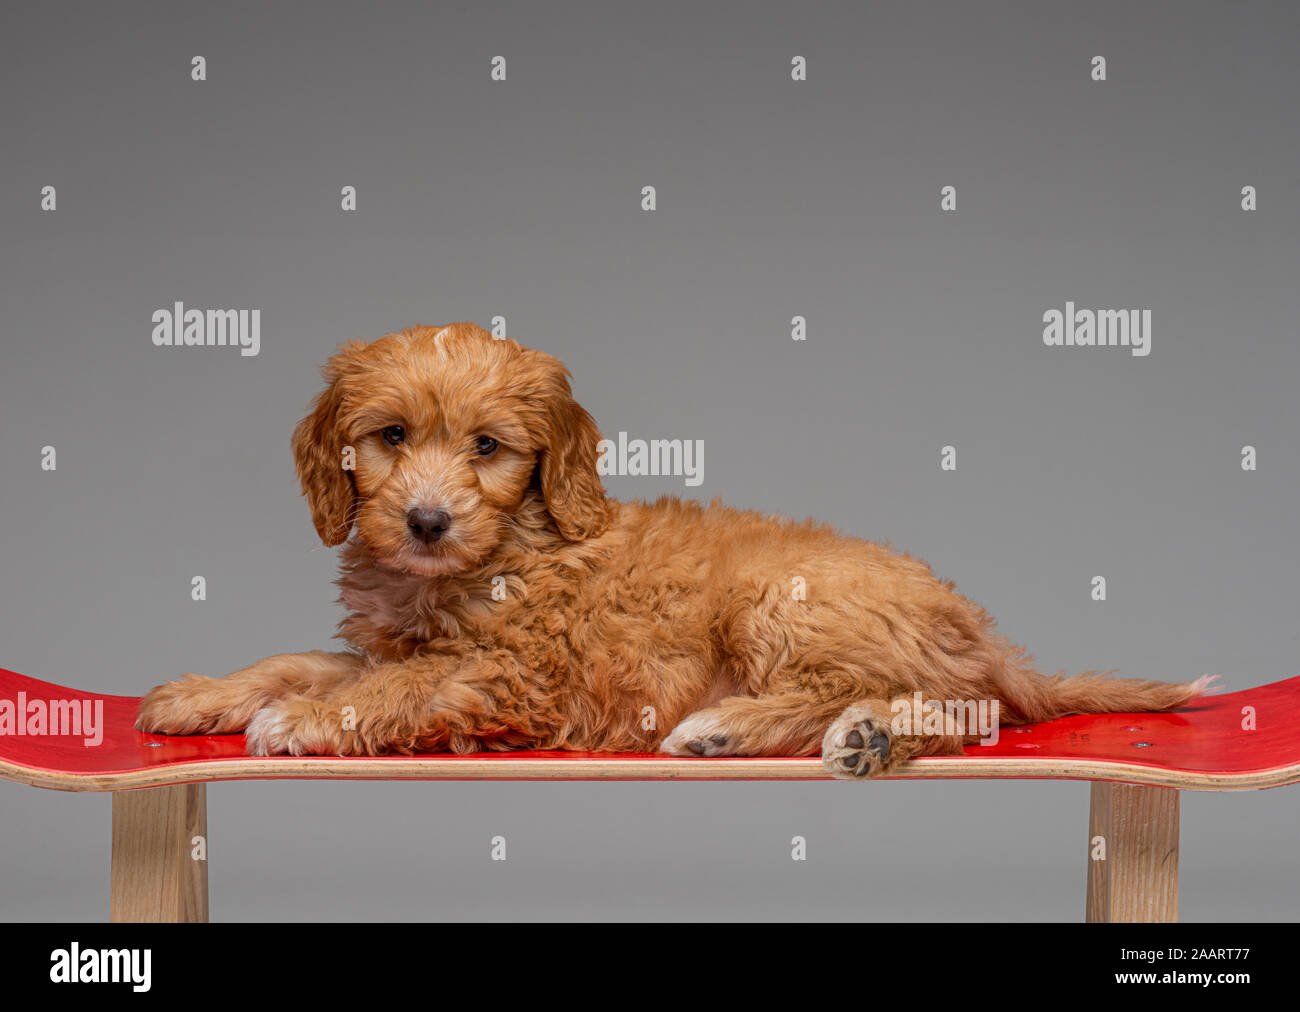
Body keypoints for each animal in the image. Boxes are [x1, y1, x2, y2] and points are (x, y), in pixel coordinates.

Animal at [137, 319, 1211, 775]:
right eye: (391, 437)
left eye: (486, 449)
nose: (427, 523)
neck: (509, 548)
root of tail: (987, 634)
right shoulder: (393, 641)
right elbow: (303, 660)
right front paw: (203, 694)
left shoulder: (511, 674)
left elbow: (398, 686)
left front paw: (308, 720)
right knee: (958, 708)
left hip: (778, 599)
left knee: (948, 706)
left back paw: (751, 728)